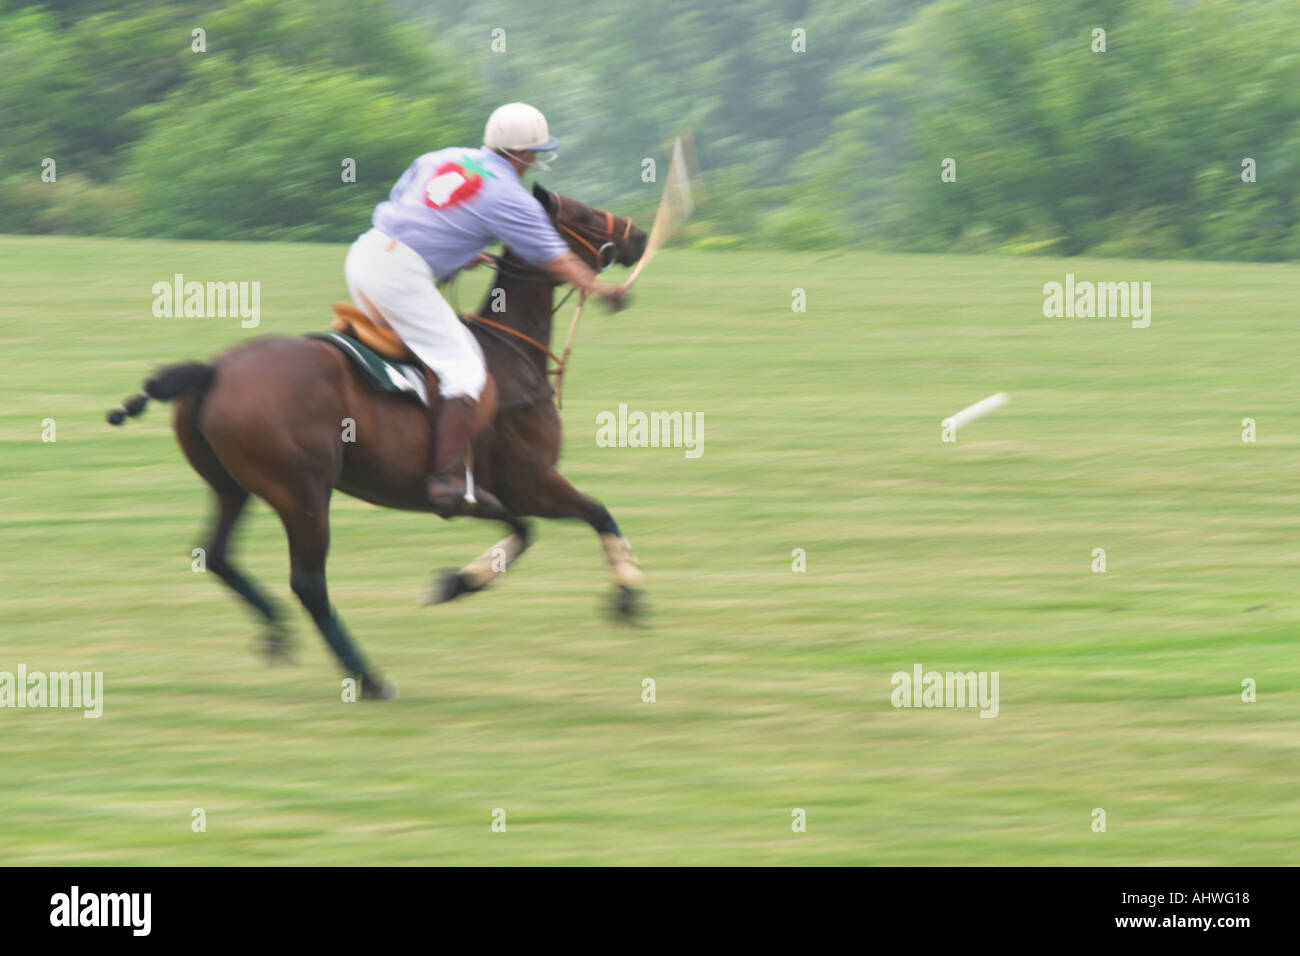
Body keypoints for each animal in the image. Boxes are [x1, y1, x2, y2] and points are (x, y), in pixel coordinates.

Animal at [106, 184, 650, 697]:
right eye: (580, 213)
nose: (639, 235)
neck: (512, 352)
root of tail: (213, 371)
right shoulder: (529, 481)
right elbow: (587, 515)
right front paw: (627, 595)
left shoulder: (492, 494)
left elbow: (526, 530)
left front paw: (458, 581)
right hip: (302, 491)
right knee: (308, 582)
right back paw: (368, 678)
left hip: (232, 487)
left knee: (217, 556)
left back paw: (278, 630)